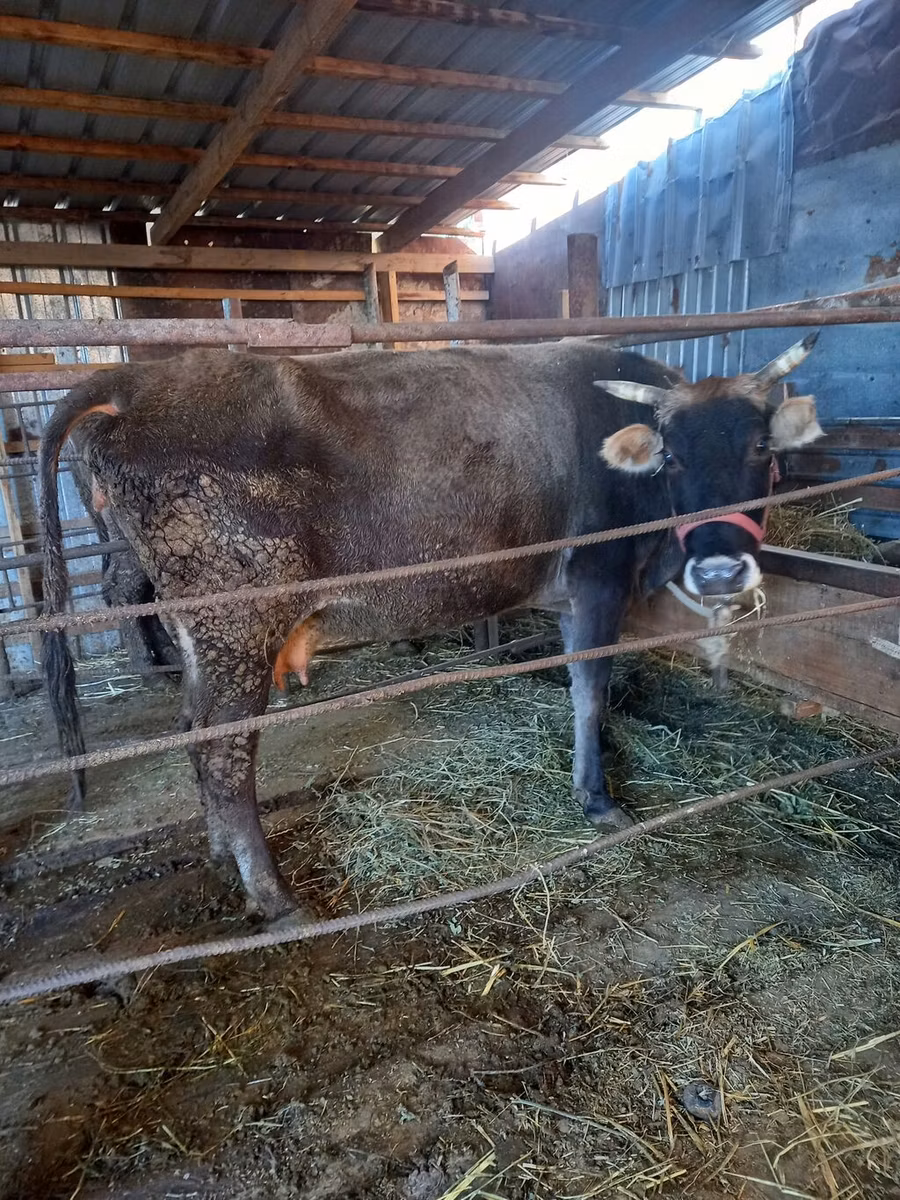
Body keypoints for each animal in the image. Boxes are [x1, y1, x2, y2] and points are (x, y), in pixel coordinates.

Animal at [39, 336, 822, 921]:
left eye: (759, 450)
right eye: (674, 455)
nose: (719, 572)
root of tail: (137, 378)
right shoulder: (597, 578)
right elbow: (591, 686)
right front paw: (598, 797)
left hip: (202, 630)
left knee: (195, 735)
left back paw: (220, 854)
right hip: (237, 619)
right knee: (224, 752)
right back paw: (272, 893)